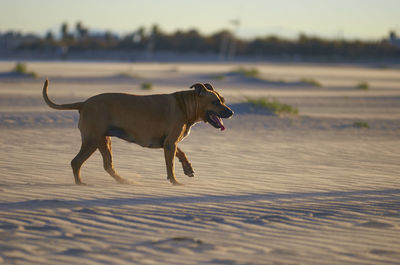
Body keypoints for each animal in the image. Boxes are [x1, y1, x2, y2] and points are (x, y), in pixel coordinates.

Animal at [42, 79, 233, 185]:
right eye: (216, 102)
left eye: (223, 100)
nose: (231, 113)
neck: (186, 105)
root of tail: (84, 103)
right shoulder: (170, 144)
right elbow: (170, 165)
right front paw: (175, 182)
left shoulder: (169, 143)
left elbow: (181, 153)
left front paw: (187, 168)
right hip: (93, 140)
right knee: (80, 163)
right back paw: (83, 183)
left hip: (102, 141)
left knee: (102, 165)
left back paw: (122, 181)